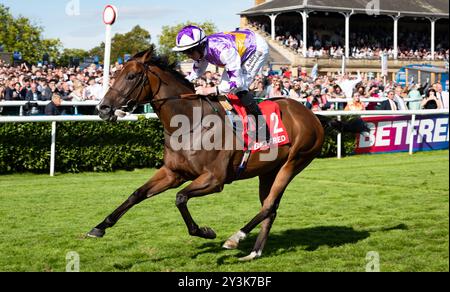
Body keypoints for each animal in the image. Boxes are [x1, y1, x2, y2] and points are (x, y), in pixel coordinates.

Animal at [89, 46, 366, 262]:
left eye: (132, 76)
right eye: (115, 74)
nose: (103, 109)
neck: (189, 124)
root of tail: (313, 115)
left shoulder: (215, 179)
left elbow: (180, 198)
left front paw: (206, 232)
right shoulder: (173, 172)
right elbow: (136, 194)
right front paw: (99, 227)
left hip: (294, 162)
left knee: (269, 205)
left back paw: (235, 238)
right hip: (268, 171)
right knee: (271, 208)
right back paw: (254, 252)